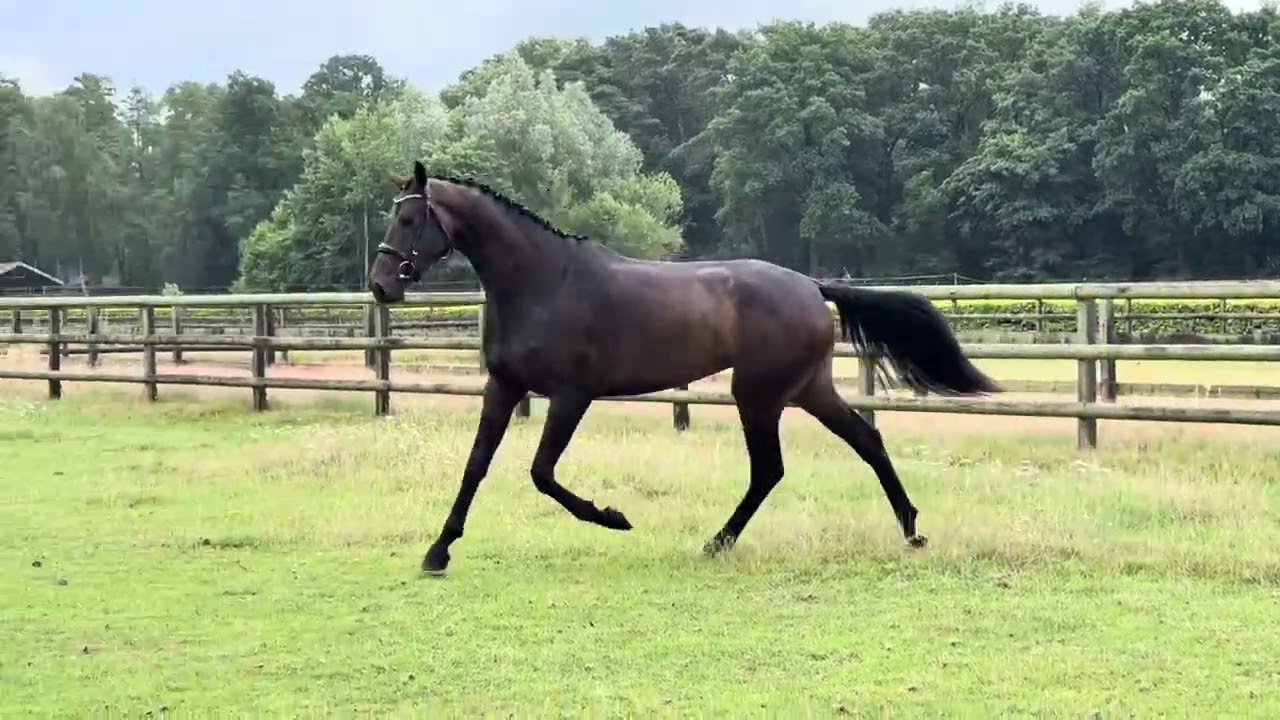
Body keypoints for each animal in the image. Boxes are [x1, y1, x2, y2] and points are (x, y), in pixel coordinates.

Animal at [369, 160, 1002, 574]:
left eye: (410, 220)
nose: (379, 285)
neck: (543, 283)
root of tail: (810, 285)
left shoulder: (571, 395)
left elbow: (542, 473)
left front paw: (614, 517)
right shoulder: (502, 387)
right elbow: (476, 466)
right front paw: (438, 551)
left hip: (757, 396)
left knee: (769, 470)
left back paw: (717, 543)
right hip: (807, 391)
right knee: (865, 441)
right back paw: (911, 529)